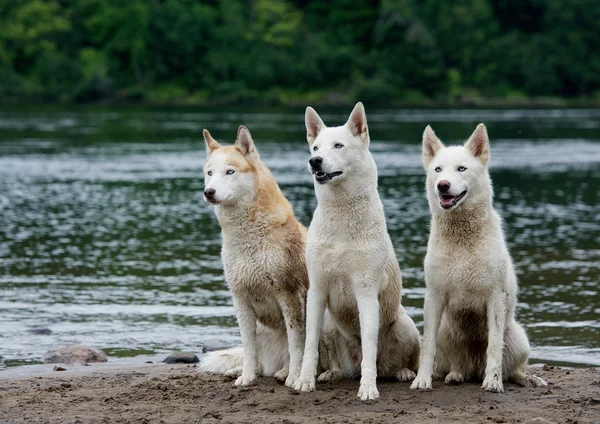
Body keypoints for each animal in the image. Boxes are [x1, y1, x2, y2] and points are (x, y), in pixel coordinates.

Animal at [199, 126, 308, 388]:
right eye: (209, 173)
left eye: (230, 171)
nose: (209, 192)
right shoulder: (241, 299)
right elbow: (248, 348)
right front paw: (246, 378)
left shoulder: (289, 295)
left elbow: (296, 346)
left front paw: (294, 378)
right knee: (259, 360)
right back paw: (239, 371)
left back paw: (286, 373)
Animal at [292, 102, 420, 400]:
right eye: (315, 147)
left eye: (338, 145)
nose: (315, 162)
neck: (341, 214)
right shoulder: (317, 291)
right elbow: (310, 345)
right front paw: (304, 381)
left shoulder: (366, 292)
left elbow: (370, 348)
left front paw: (368, 388)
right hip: (329, 323)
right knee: (339, 362)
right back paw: (331, 373)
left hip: (406, 325)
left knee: (399, 360)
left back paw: (402, 372)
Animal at [412, 124, 548, 392]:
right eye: (438, 169)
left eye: (462, 168)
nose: (443, 185)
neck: (462, 239)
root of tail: (474, 368)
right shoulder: (434, 297)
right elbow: (427, 347)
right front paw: (422, 379)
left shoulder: (495, 297)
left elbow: (494, 348)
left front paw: (493, 382)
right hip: (446, 331)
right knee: (456, 365)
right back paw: (455, 376)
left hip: (517, 337)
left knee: (513, 369)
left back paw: (527, 379)